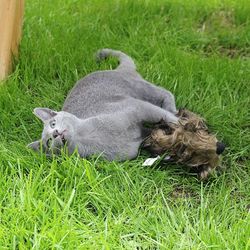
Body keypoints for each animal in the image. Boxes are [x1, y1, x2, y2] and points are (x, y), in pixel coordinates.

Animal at [28, 48, 179, 160]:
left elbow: (165, 117)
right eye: (48, 142)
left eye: (53, 123)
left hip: (140, 88)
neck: (90, 137)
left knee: (165, 93)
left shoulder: (138, 108)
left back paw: (173, 110)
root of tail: (117, 70)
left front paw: (180, 126)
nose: (55, 133)